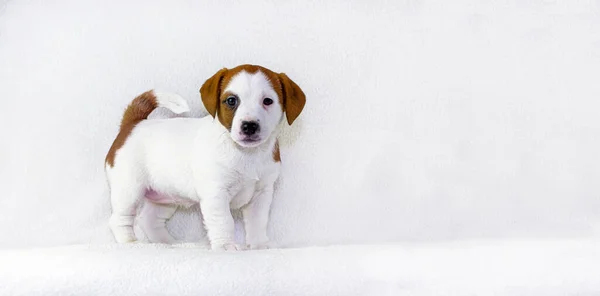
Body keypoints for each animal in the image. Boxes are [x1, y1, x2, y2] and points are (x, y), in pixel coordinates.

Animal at [102, 64, 304, 250]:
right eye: (231, 101)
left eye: (268, 101)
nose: (249, 126)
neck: (247, 154)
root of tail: (133, 124)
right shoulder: (216, 194)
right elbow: (224, 221)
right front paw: (226, 246)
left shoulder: (261, 195)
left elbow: (257, 223)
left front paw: (259, 245)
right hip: (129, 190)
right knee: (119, 219)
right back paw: (130, 242)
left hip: (164, 196)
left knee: (149, 220)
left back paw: (168, 244)